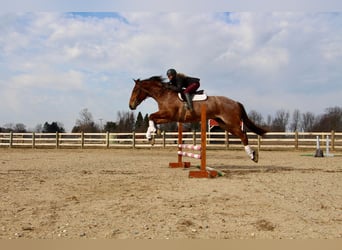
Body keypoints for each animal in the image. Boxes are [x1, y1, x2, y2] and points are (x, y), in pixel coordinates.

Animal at [128, 75, 268, 163]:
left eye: (136, 90)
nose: (131, 106)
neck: (164, 94)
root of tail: (236, 102)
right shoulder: (168, 117)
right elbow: (152, 118)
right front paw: (151, 134)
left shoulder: (168, 114)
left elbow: (151, 116)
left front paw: (151, 133)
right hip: (225, 124)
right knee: (242, 134)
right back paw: (253, 154)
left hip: (231, 122)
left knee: (243, 135)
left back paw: (252, 156)